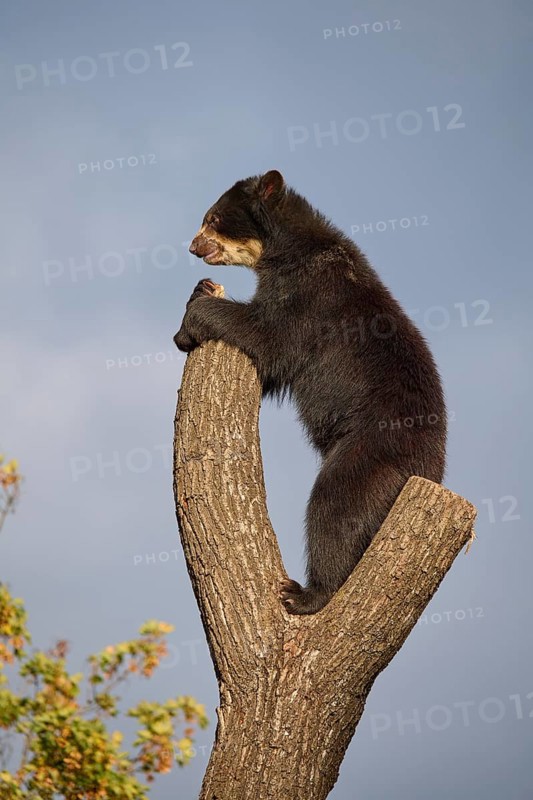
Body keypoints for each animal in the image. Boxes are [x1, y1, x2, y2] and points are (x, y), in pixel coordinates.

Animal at [174, 170, 446, 614]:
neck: (289, 249)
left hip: (370, 450)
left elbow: (270, 337)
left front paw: (188, 323)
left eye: (212, 218)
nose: (194, 247)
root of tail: (432, 472)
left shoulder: (312, 296)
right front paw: (199, 290)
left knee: (336, 506)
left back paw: (305, 593)